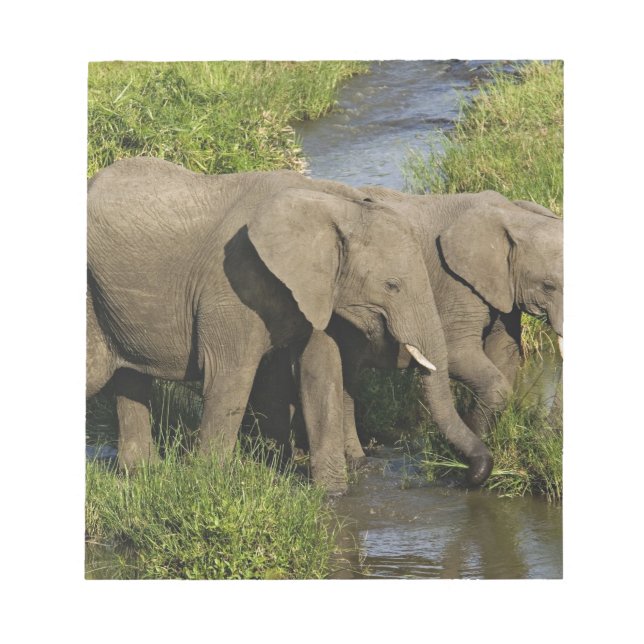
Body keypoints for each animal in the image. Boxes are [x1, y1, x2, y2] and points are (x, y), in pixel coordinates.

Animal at [86, 157, 487, 494]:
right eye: (392, 286)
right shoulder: (233, 283)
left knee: (130, 379)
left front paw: (333, 495)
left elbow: (321, 371)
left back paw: (139, 474)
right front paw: (208, 483)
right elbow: (231, 378)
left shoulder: (315, 290)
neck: (334, 204)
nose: (471, 475)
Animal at [249, 187, 563, 481]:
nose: (544, 438)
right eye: (548, 285)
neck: (512, 214)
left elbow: (505, 353)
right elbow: (458, 355)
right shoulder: (457, 284)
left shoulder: (502, 291)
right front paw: (464, 454)